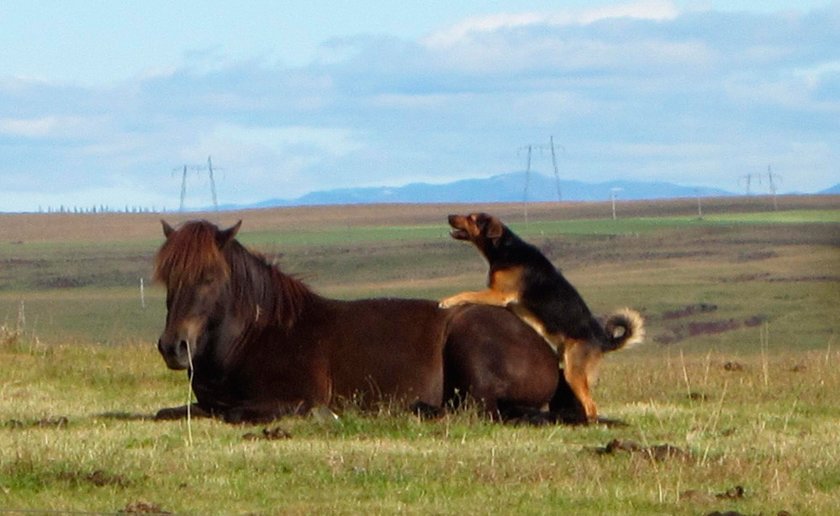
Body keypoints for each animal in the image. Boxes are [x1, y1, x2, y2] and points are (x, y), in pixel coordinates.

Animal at [151, 220, 584, 426]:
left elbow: (234, 413)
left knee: (474, 411)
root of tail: (546, 348)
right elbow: (175, 411)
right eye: (167, 278)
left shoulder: (293, 399)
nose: (173, 347)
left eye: (209, 277)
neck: (258, 334)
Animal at [436, 212, 648, 422]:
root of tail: (604, 340)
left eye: (471, 218)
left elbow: (467, 293)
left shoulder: (498, 294)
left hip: (574, 371)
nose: (449, 216)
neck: (504, 247)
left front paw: (447, 301)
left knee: (591, 406)